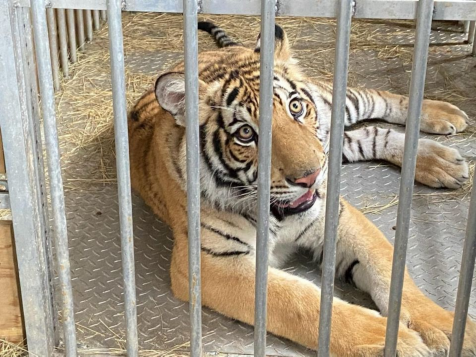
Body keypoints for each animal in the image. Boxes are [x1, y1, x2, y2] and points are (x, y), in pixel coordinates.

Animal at [128, 20, 474, 354]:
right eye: (245, 133)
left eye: (295, 108)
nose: (311, 176)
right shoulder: (211, 262)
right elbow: (300, 301)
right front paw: (394, 341)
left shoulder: (337, 215)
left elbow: (387, 266)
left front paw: (448, 328)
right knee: (370, 135)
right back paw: (440, 162)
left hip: (336, 106)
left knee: (381, 100)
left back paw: (443, 122)